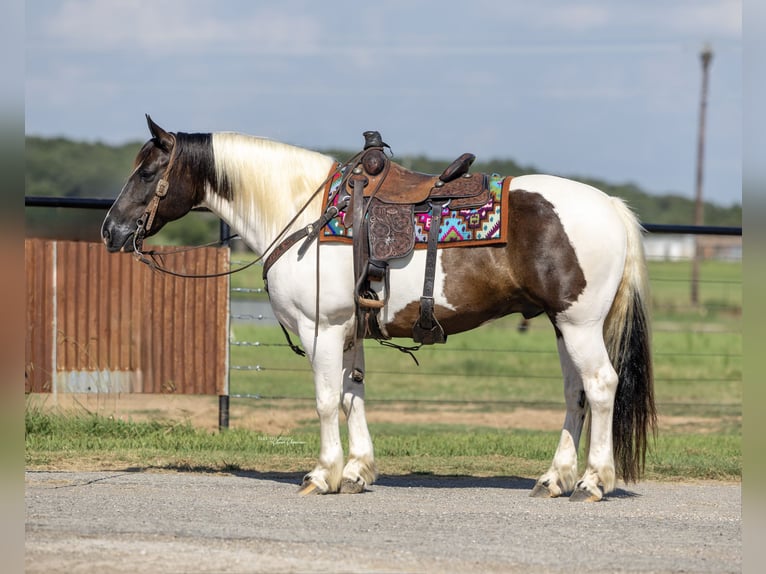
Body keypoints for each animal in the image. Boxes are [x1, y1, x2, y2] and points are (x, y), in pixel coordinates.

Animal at [102, 115, 656, 501]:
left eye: (148, 171)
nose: (111, 231)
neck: (303, 213)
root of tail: (610, 206)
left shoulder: (320, 330)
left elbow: (327, 401)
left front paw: (322, 474)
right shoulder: (348, 332)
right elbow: (353, 398)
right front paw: (355, 471)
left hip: (579, 324)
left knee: (600, 387)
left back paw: (592, 481)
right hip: (565, 326)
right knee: (575, 394)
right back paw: (555, 478)